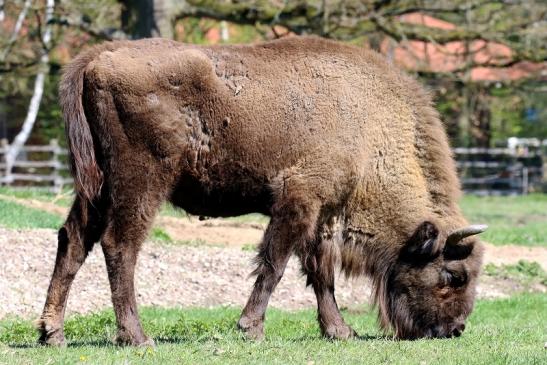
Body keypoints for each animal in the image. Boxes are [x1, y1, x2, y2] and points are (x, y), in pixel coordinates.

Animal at [36, 35, 486, 346]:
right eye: (453, 275)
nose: (455, 329)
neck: (369, 123)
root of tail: (98, 58)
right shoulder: (298, 200)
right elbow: (274, 264)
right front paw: (251, 328)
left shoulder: (323, 213)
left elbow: (321, 274)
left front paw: (340, 331)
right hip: (141, 183)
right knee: (120, 246)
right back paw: (136, 336)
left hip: (96, 186)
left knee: (73, 239)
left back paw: (52, 333)